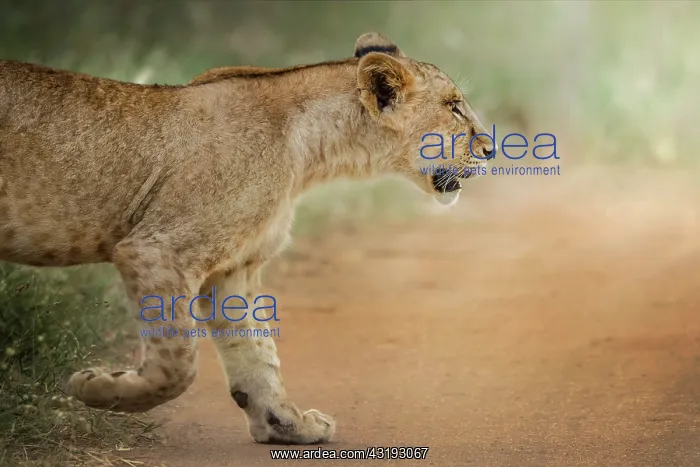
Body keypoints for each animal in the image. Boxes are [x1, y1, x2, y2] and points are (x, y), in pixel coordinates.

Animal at [0, 32, 494, 444]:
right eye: (454, 106)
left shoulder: (234, 270)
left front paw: (288, 424)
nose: (490, 149)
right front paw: (97, 389)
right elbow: (178, 363)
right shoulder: (158, 250)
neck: (312, 154)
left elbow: (257, 355)